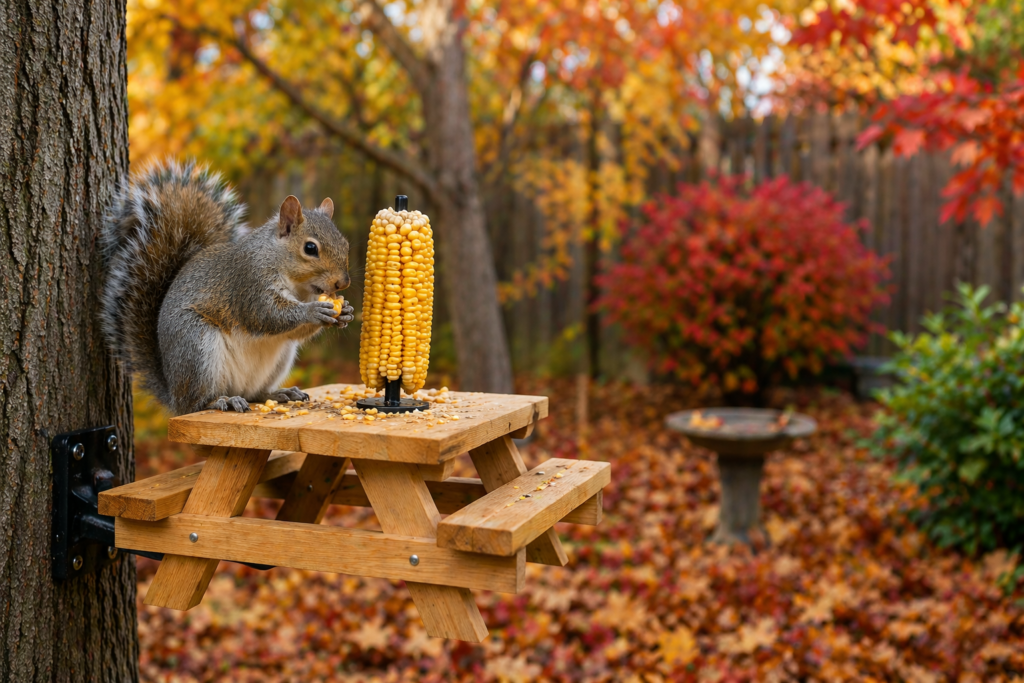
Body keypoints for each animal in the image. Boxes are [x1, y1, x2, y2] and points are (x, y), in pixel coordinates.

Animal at [100, 159, 354, 416]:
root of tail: (172, 394)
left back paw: (277, 393)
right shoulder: (249, 281)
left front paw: (345, 312)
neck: (297, 285)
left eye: (345, 244)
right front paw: (313, 311)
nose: (343, 283)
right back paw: (220, 401)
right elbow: (267, 315)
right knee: (195, 402)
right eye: (310, 248)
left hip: (277, 359)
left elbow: (294, 331)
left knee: (254, 393)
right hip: (195, 344)